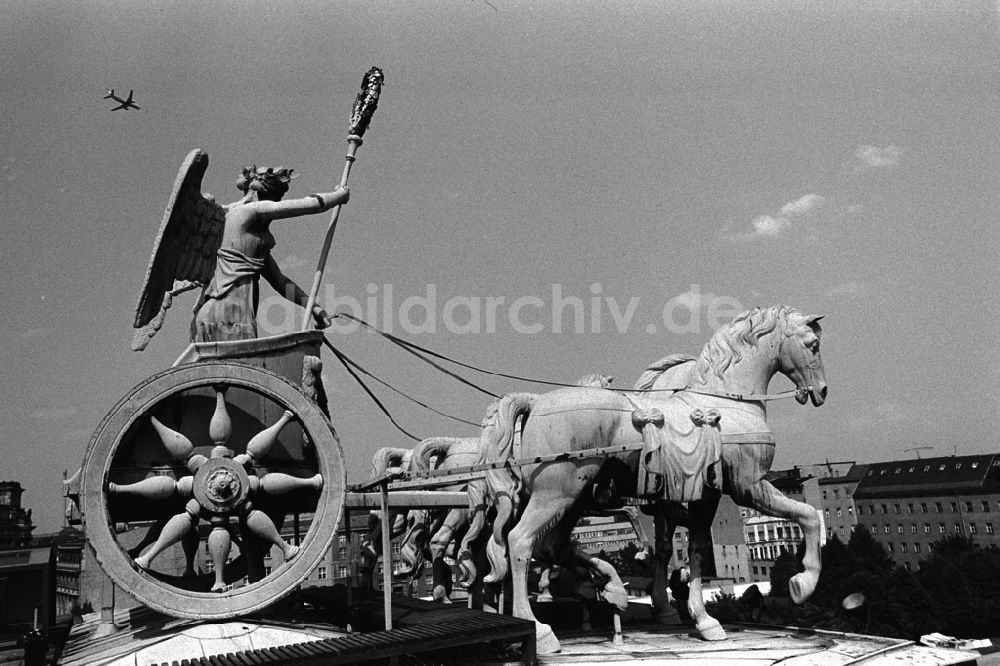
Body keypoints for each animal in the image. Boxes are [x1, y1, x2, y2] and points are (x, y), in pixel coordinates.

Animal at [476, 308, 828, 652]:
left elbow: (691, 547)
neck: (727, 404)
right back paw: (540, 630)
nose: (821, 390)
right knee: (520, 542)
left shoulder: (703, 495)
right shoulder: (748, 486)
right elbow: (808, 515)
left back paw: (612, 588)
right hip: (558, 493)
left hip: (572, 498)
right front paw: (802, 584)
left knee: (551, 546)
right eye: (812, 345)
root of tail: (537, 402)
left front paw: (697, 616)